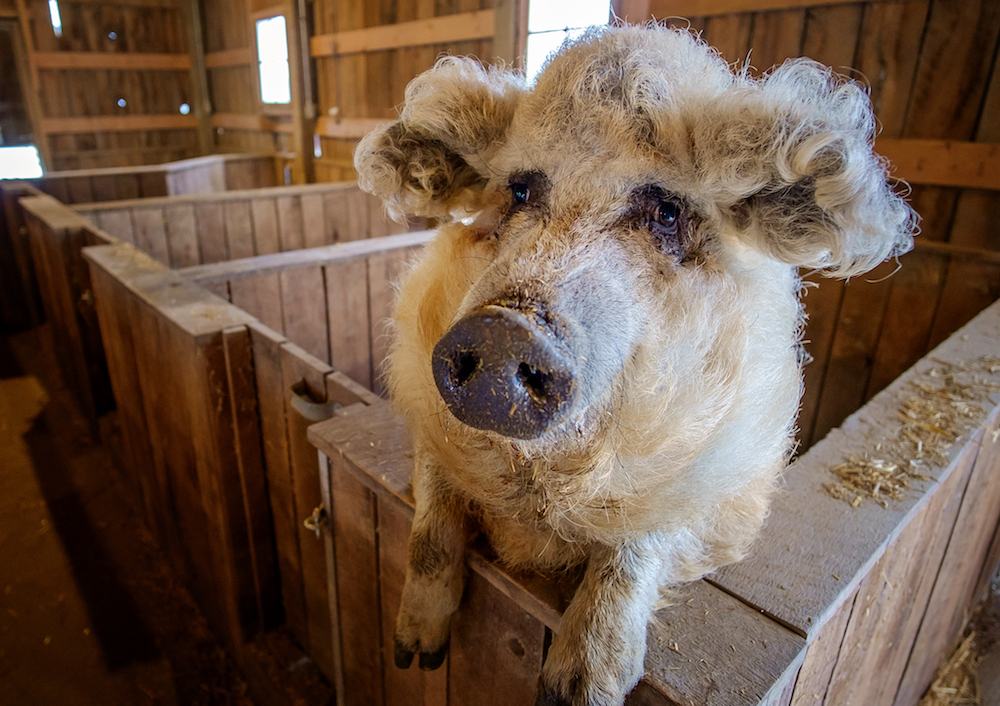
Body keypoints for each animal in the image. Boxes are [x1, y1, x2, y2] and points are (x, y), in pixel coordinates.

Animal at [354, 23, 916, 706]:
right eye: (520, 190)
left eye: (667, 212)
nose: (506, 330)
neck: (537, 495)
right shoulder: (426, 416)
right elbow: (433, 527)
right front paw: (415, 656)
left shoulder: (721, 489)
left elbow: (637, 545)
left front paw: (576, 691)